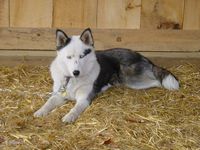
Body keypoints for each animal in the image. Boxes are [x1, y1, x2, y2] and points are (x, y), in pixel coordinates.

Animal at [33, 28, 180, 123]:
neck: (72, 80)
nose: (76, 72)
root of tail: (140, 55)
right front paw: (40, 111)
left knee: (157, 81)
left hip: (132, 80)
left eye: (82, 56)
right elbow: (48, 102)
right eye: (69, 57)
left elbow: (75, 109)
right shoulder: (59, 95)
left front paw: (69, 116)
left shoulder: (84, 99)